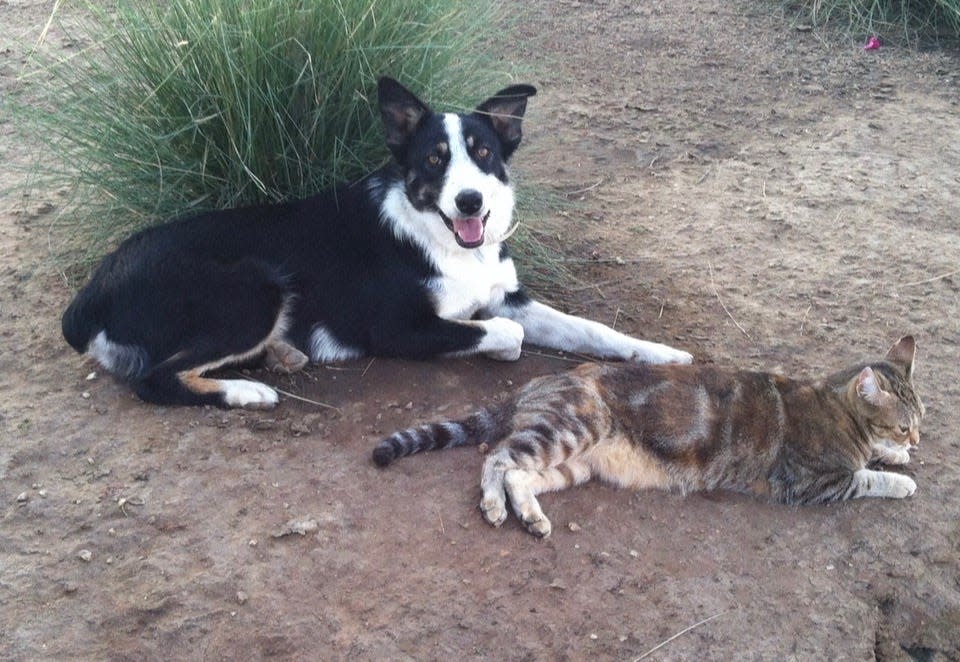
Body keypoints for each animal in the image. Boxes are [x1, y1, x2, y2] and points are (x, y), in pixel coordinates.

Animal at [62, 78, 688, 410]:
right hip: (253, 290)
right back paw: (245, 390)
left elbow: (594, 330)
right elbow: (501, 335)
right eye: (433, 160)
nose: (469, 202)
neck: (442, 239)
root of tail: (94, 287)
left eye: (484, 153)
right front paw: (499, 349)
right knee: (153, 379)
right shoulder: (398, 326)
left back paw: (280, 356)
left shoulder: (508, 297)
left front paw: (661, 353)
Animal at [374, 340, 924, 536]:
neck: (835, 403)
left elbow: (874, 458)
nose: (916, 438)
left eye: (921, 417)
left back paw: (531, 517)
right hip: (569, 430)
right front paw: (900, 477)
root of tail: (535, 384)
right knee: (495, 461)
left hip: (572, 463)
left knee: (519, 476)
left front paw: (895, 455)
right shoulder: (812, 482)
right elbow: (866, 477)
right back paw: (493, 506)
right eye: (905, 421)